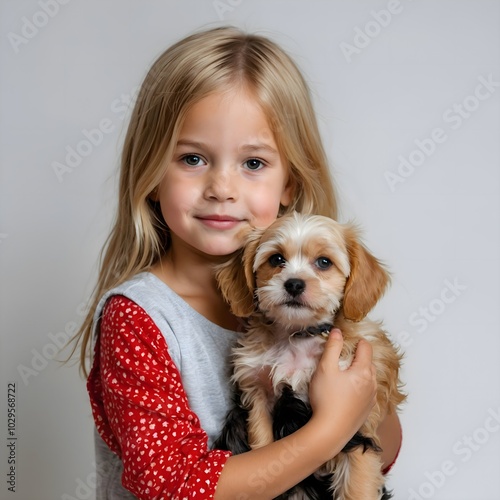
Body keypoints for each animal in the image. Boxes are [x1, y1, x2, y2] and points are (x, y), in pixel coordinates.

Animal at [215, 212, 406, 500]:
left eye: (324, 262)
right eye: (276, 259)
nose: (294, 283)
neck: (299, 335)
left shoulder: (360, 427)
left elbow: (357, 487)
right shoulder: (259, 397)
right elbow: (263, 449)